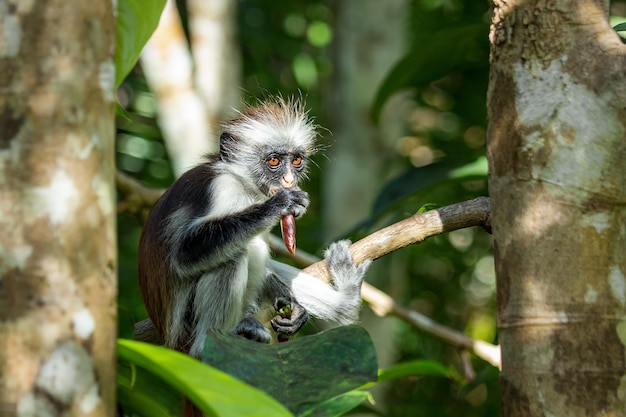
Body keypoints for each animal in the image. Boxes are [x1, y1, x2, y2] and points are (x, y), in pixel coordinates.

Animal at [136, 97, 368, 358]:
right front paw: (280, 204)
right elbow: (183, 255)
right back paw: (207, 346)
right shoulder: (223, 187)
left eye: (296, 161)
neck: (242, 181)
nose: (289, 180)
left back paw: (345, 303)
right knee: (232, 257)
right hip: (186, 325)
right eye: (274, 161)